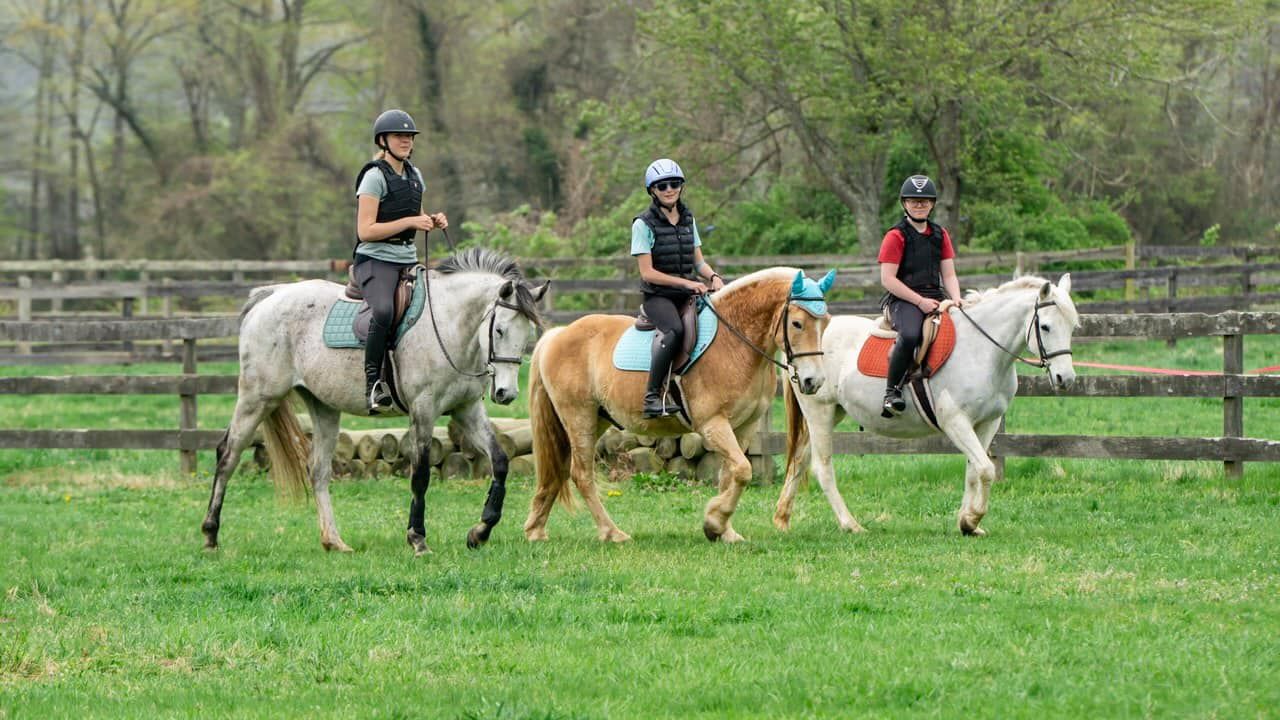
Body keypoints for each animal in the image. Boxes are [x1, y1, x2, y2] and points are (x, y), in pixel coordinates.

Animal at [200, 248, 548, 555]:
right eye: (499, 330)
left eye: (528, 335)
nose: (506, 394)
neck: (450, 326)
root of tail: (271, 295)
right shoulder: (423, 410)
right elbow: (420, 474)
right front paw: (418, 539)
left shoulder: (466, 409)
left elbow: (500, 461)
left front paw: (480, 532)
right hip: (258, 397)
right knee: (228, 454)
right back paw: (210, 535)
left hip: (323, 408)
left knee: (318, 470)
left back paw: (334, 542)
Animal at [523, 267, 834, 544]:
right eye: (797, 323)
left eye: (826, 322)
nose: (813, 381)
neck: (734, 343)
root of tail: (557, 335)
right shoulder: (712, 425)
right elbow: (743, 471)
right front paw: (714, 522)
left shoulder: (744, 427)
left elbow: (731, 474)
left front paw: (722, 530)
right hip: (580, 417)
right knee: (581, 474)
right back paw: (612, 533)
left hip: (595, 419)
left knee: (562, 468)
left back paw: (535, 529)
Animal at [774, 274, 1078, 537]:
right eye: (1045, 327)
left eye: (1073, 327)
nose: (1065, 379)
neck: (981, 350)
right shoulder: (955, 421)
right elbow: (986, 469)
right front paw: (972, 518)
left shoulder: (987, 423)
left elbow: (974, 471)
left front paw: (967, 524)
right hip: (820, 411)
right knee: (822, 468)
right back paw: (851, 524)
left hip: (832, 413)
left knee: (799, 460)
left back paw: (782, 518)